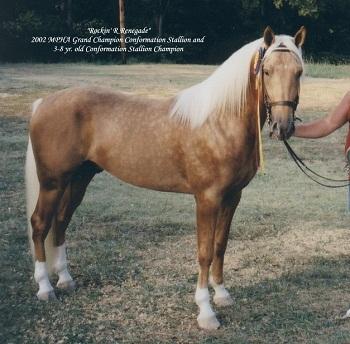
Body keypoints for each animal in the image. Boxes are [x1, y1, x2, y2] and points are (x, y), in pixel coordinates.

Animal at [26, 26, 304, 328]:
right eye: (267, 71)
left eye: (299, 72)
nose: (283, 126)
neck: (219, 121)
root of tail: (42, 103)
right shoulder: (207, 199)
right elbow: (205, 252)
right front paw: (206, 312)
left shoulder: (232, 196)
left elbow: (220, 245)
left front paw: (222, 295)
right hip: (52, 183)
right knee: (40, 224)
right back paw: (45, 288)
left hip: (79, 179)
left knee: (61, 221)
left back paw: (65, 280)